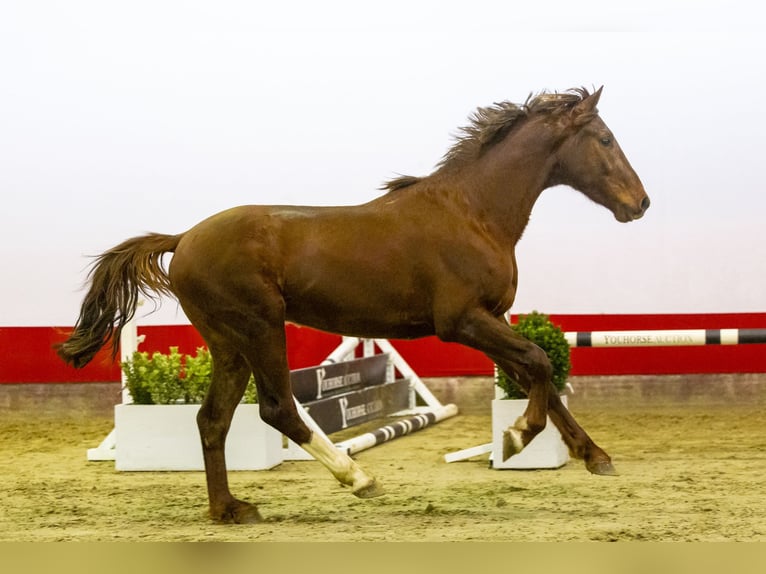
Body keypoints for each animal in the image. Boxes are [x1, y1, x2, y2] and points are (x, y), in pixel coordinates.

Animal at [57, 86, 652, 528]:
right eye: (604, 138)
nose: (640, 203)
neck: (472, 212)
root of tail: (182, 240)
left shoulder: (492, 318)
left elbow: (539, 376)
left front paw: (594, 457)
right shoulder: (462, 322)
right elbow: (540, 363)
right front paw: (518, 436)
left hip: (228, 345)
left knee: (212, 419)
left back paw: (230, 510)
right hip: (259, 328)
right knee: (277, 409)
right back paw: (358, 479)